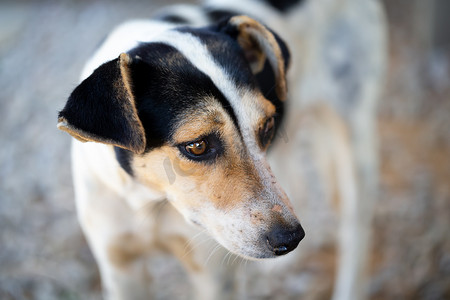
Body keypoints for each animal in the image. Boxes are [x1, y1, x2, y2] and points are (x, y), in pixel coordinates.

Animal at [57, 0, 386, 300]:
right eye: (197, 146)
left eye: (266, 125)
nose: (291, 239)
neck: (150, 199)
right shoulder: (120, 268)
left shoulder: (214, 276)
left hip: (353, 141)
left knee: (356, 230)